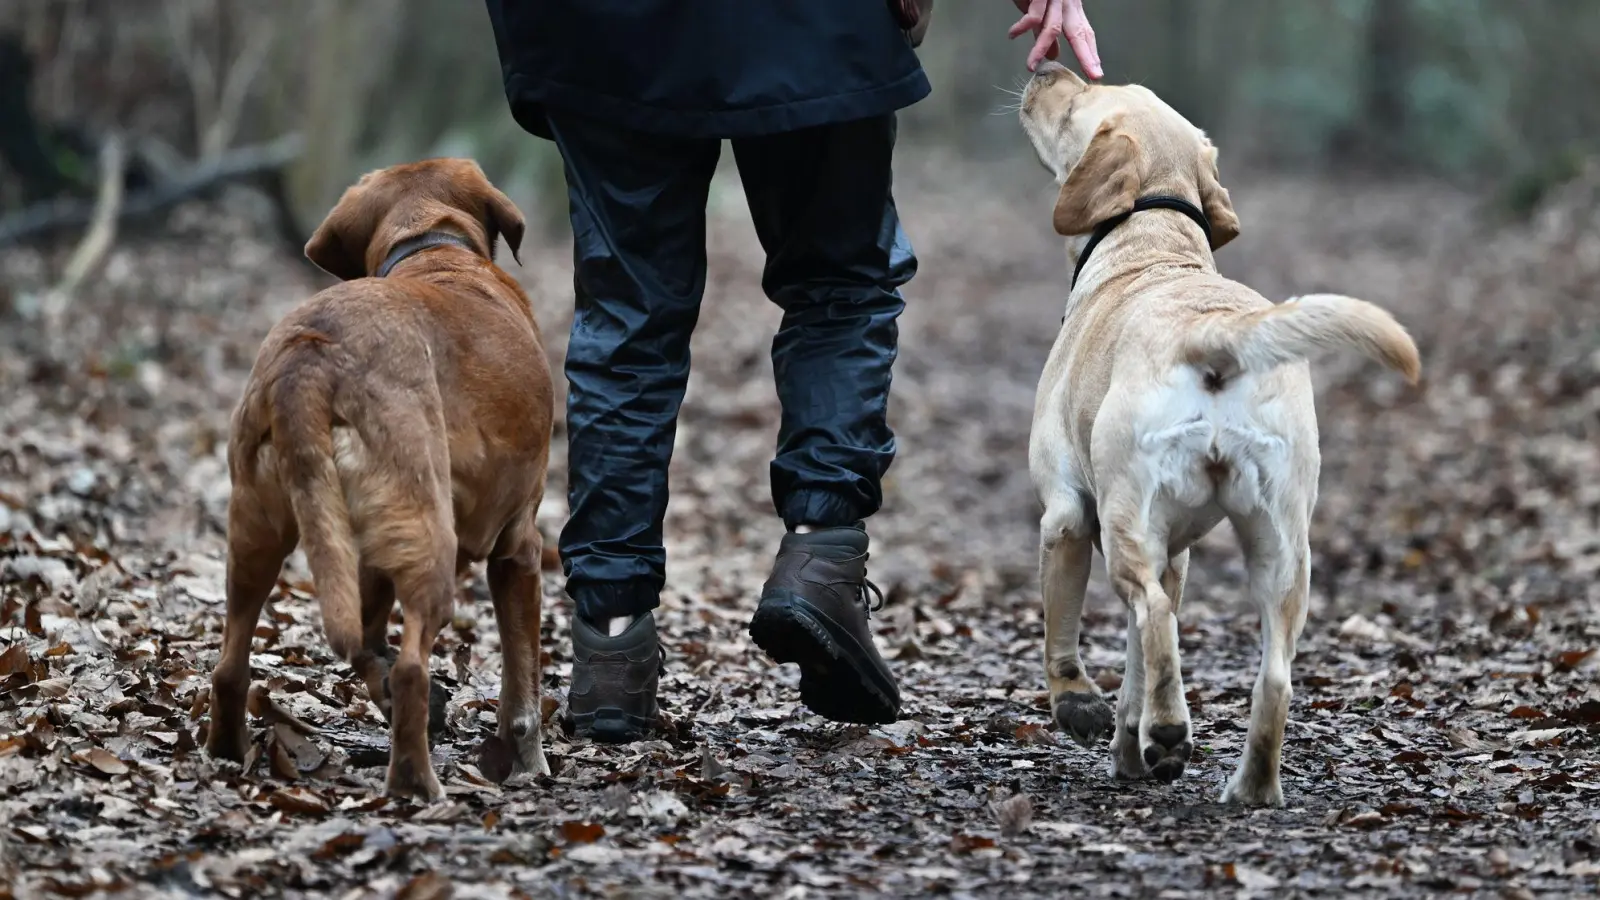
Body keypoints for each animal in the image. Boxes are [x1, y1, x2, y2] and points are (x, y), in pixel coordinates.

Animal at [206, 157, 556, 794]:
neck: (431, 246)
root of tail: (311, 357)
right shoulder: (518, 548)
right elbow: (521, 694)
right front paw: (530, 765)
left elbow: (368, 638)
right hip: (432, 543)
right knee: (414, 666)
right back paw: (417, 783)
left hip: (256, 535)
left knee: (231, 666)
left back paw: (227, 749)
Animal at [1017, 63, 1420, 807]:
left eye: (1083, 95)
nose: (1046, 67)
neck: (1154, 244)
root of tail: (1214, 333)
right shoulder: (1176, 553)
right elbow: (1137, 666)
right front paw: (1130, 747)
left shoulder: (1066, 516)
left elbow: (1071, 636)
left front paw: (1081, 707)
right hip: (1283, 551)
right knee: (1271, 675)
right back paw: (1247, 784)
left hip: (1127, 525)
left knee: (1153, 614)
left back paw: (1172, 731)